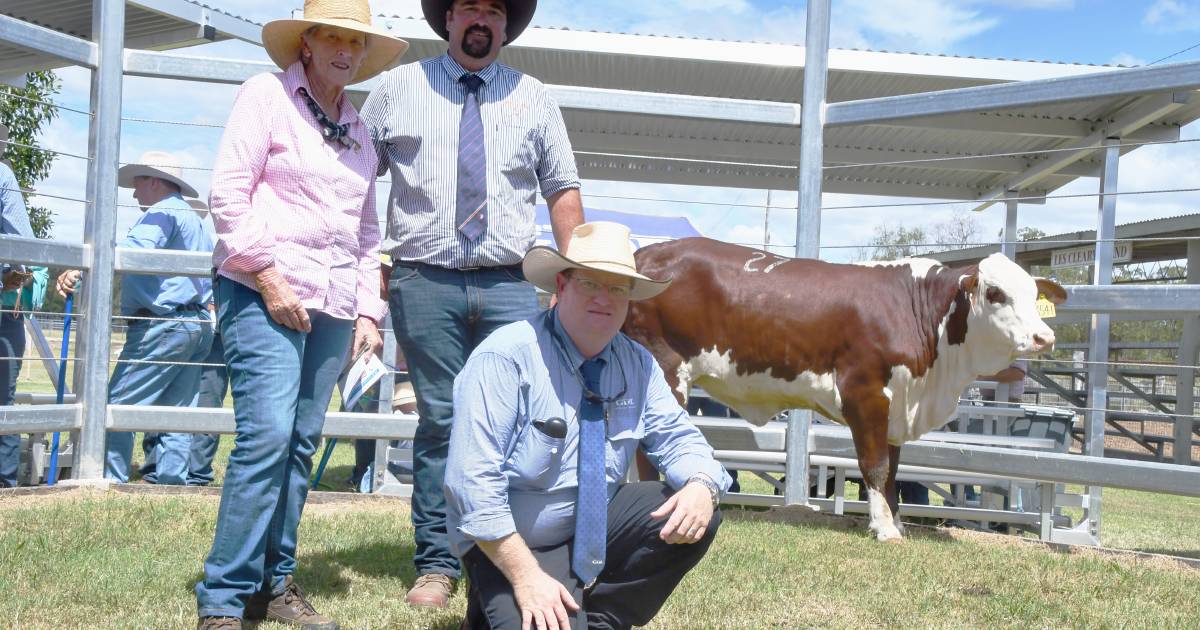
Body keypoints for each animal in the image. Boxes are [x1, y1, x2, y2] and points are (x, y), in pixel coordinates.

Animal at [624, 235, 1065, 540]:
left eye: (1034, 294)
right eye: (995, 292)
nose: (1044, 337)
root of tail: (644, 255)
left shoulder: (897, 405)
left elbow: (893, 471)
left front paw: (897, 523)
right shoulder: (864, 393)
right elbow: (875, 466)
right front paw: (884, 530)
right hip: (664, 369)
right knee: (647, 450)